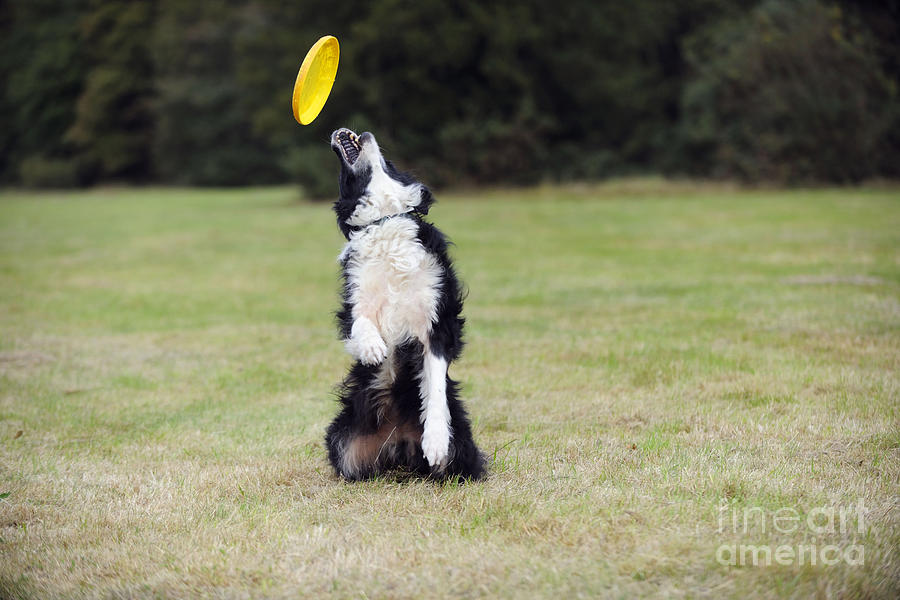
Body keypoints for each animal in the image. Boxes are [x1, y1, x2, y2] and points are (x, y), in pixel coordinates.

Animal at [326, 129, 486, 480]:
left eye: (390, 162)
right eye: (345, 178)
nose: (364, 131)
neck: (385, 221)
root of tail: (398, 444)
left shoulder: (439, 325)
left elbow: (436, 387)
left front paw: (436, 441)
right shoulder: (353, 305)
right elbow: (361, 323)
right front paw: (373, 347)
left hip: (463, 446)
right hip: (343, 441)